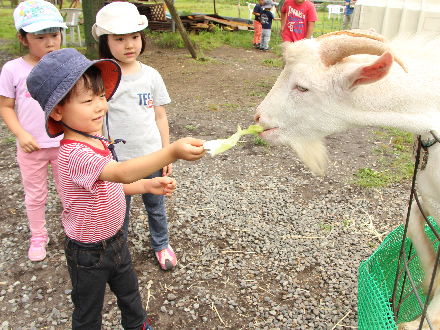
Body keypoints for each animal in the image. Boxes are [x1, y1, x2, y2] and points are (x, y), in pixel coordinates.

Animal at [254, 29, 440, 328]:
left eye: (303, 87)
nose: (259, 118)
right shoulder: (427, 196)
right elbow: (411, 221)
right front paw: (428, 281)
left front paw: (419, 318)